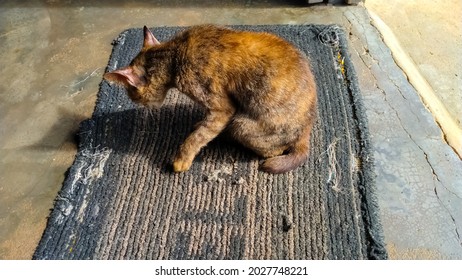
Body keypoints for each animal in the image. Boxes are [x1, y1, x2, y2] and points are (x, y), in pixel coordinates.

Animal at [103, 24, 316, 173]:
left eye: (131, 93)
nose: (135, 101)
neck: (174, 54)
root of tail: (307, 129)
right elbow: (203, 126)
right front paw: (199, 125)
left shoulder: (222, 108)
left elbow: (197, 137)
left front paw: (181, 159)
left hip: (241, 124)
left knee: (273, 150)